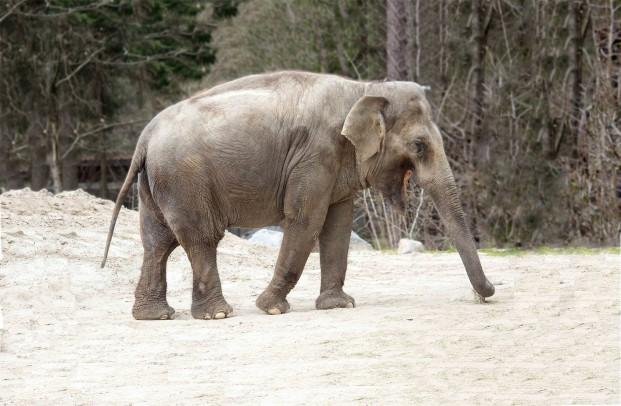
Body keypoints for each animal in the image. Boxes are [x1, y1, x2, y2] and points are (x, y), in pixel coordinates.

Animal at [100, 71, 494, 322]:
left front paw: (338, 306)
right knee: (200, 238)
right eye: (419, 146)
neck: (363, 89)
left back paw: (155, 316)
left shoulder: (336, 163)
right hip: (184, 177)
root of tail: (145, 137)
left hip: (158, 182)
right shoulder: (316, 154)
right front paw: (271, 308)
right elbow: (306, 219)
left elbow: (337, 224)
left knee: (157, 242)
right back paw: (218, 314)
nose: (486, 294)